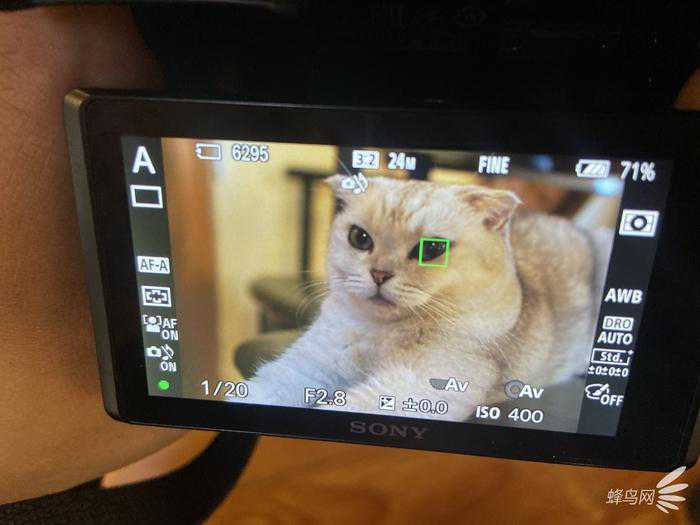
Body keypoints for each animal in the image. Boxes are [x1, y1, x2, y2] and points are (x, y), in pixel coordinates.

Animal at [241, 176, 612, 421]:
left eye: (431, 249)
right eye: (360, 238)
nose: (379, 274)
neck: (382, 332)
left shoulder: (417, 383)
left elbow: (355, 403)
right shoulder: (309, 364)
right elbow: (265, 389)